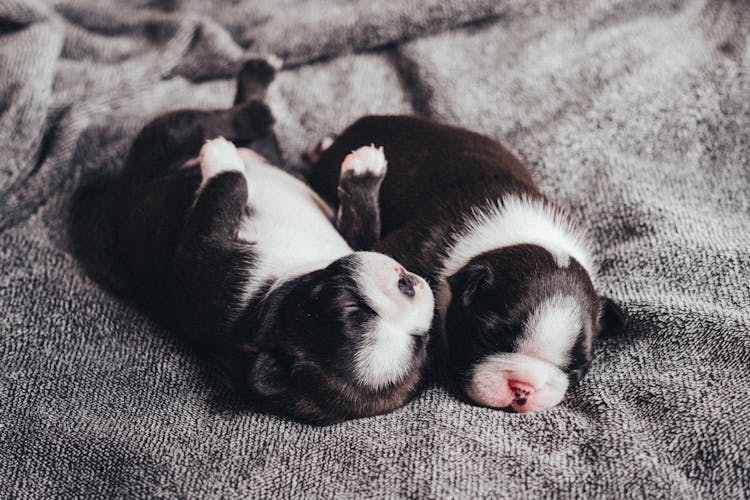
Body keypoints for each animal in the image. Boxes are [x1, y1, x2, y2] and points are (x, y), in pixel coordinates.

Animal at [114, 61, 438, 422]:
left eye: (421, 340)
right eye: (350, 308)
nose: (409, 286)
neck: (271, 291)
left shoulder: (201, 260)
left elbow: (226, 190)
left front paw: (222, 161)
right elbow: (361, 222)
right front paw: (365, 172)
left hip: (165, 139)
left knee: (208, 122)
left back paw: (253, 109)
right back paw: (259, 86)